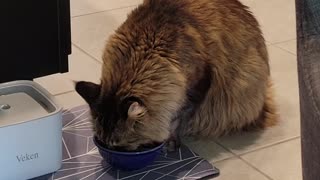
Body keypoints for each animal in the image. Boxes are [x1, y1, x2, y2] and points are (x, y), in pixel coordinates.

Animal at [75, 0, 278, 151]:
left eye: (119, 145)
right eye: (104, 143)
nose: (111, 153)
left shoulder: (197, 86)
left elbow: (177, 119)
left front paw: (171, 140)